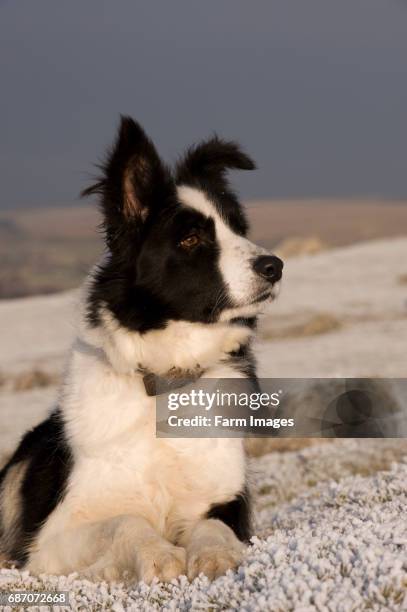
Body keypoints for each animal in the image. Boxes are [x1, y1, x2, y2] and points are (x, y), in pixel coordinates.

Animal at [0, 116, 284, 584]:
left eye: (239, 229)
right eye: (190, 239)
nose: (275, 266)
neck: (165, 378)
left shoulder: (227, 499)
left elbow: (212, 525)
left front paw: (214, 555)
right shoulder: (52, 536)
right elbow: (126, 521)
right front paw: (159, 555)